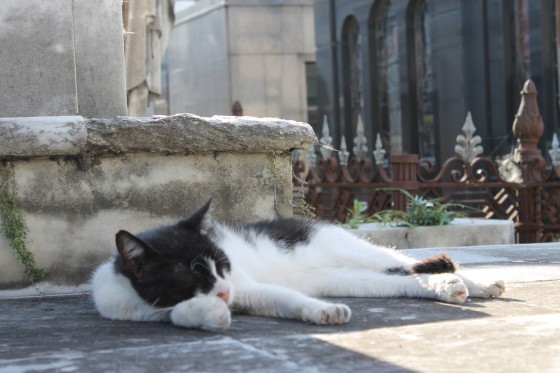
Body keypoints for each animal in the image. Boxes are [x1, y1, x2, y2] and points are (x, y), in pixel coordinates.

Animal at [91, 199, 504, 330]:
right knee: (400, 279)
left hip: (347, 248)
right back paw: (446, 288)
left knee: (407, 262)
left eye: (222, 265)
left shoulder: (246, 286)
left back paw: (478, 283)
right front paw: (209, 314)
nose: (225, 291)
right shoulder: (134, 310)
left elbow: (285, 298)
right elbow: (177, 313)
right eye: (191, 274)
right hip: (343, 278)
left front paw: (326, 313)